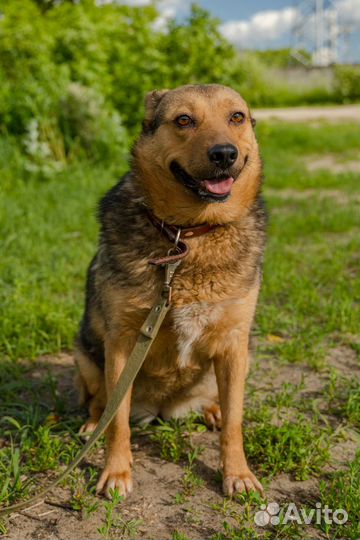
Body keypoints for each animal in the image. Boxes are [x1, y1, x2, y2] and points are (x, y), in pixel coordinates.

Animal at [75, 82, 268, 500]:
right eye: (183, 120)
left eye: (237, 117)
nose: (224, 153)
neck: (188, 235)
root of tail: (163, 409)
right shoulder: (122, 343)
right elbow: (118, 422)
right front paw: (116, 471)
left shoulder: (234, 343)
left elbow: (235, 423)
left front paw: (238, 474)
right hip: (85, 356)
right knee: (101, 404)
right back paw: (91, 426)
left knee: (217, 402)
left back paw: (211, 410)